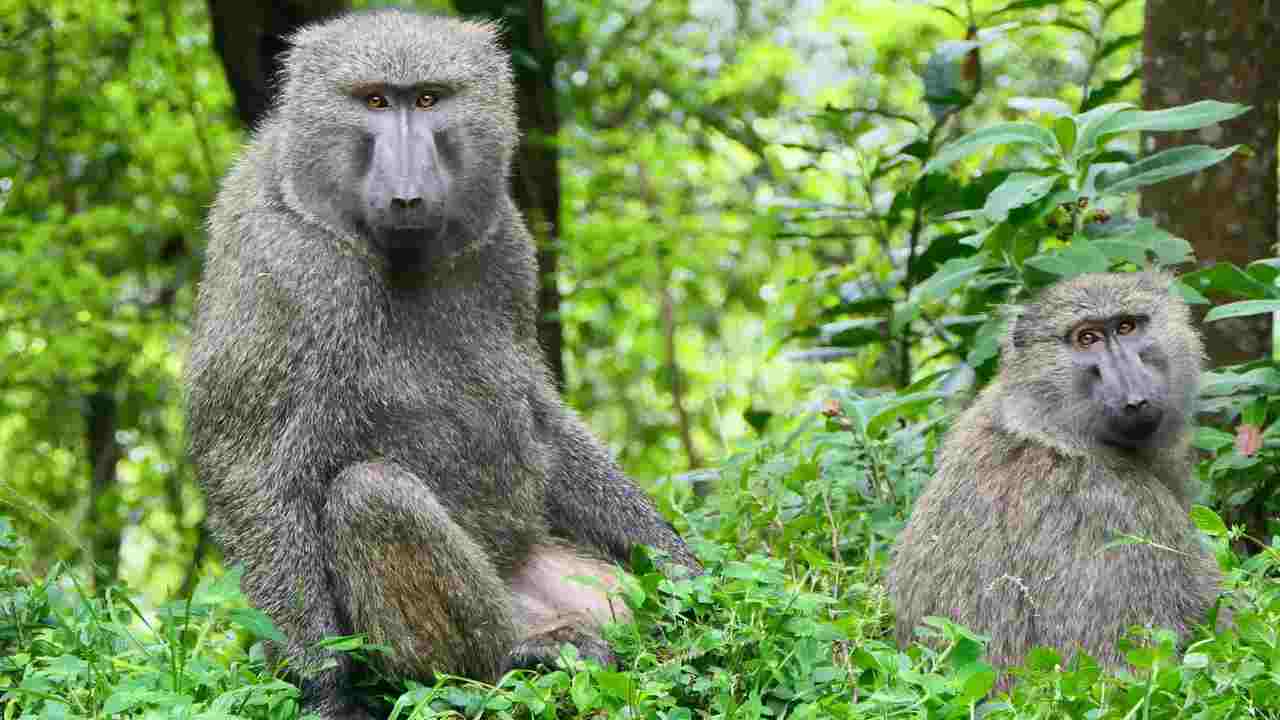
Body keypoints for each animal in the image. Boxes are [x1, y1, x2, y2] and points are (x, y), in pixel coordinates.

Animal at [184, 10, 701, 719]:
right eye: (376, 101)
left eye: (428, 98)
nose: (408, 194)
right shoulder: (282, 267)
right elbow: (250, 468)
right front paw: (323, 690)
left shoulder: (507, 247)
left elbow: (540, 420)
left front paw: (689, 575)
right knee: (370, 495)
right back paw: (522, 657)